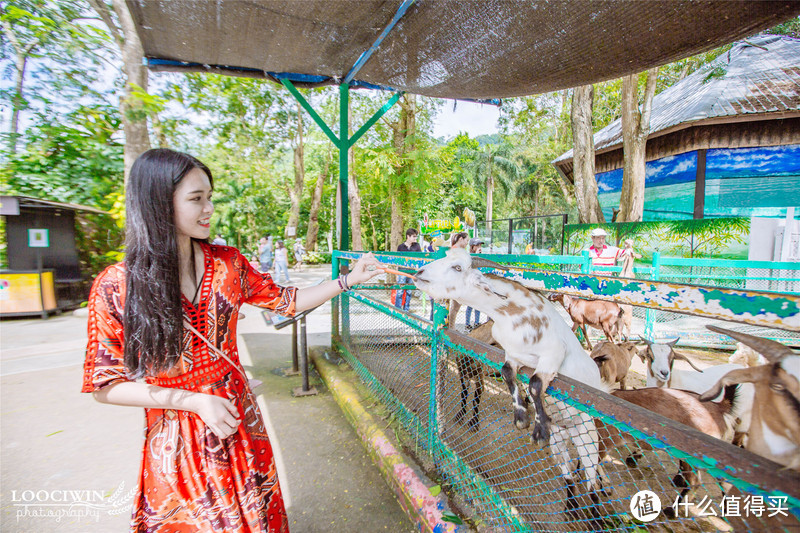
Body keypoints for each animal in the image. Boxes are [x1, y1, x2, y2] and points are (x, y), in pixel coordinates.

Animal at [412, 247, 608, 504]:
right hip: (560, 442)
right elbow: (507, 373)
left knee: (592, 480)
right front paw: (521, 418)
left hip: (588, 437)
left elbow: (535, 383)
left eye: (458, 267)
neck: (510, 312)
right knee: (570, 477)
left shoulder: (555, 352)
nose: (419, 272)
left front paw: (539, 429)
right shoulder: (514, 355)